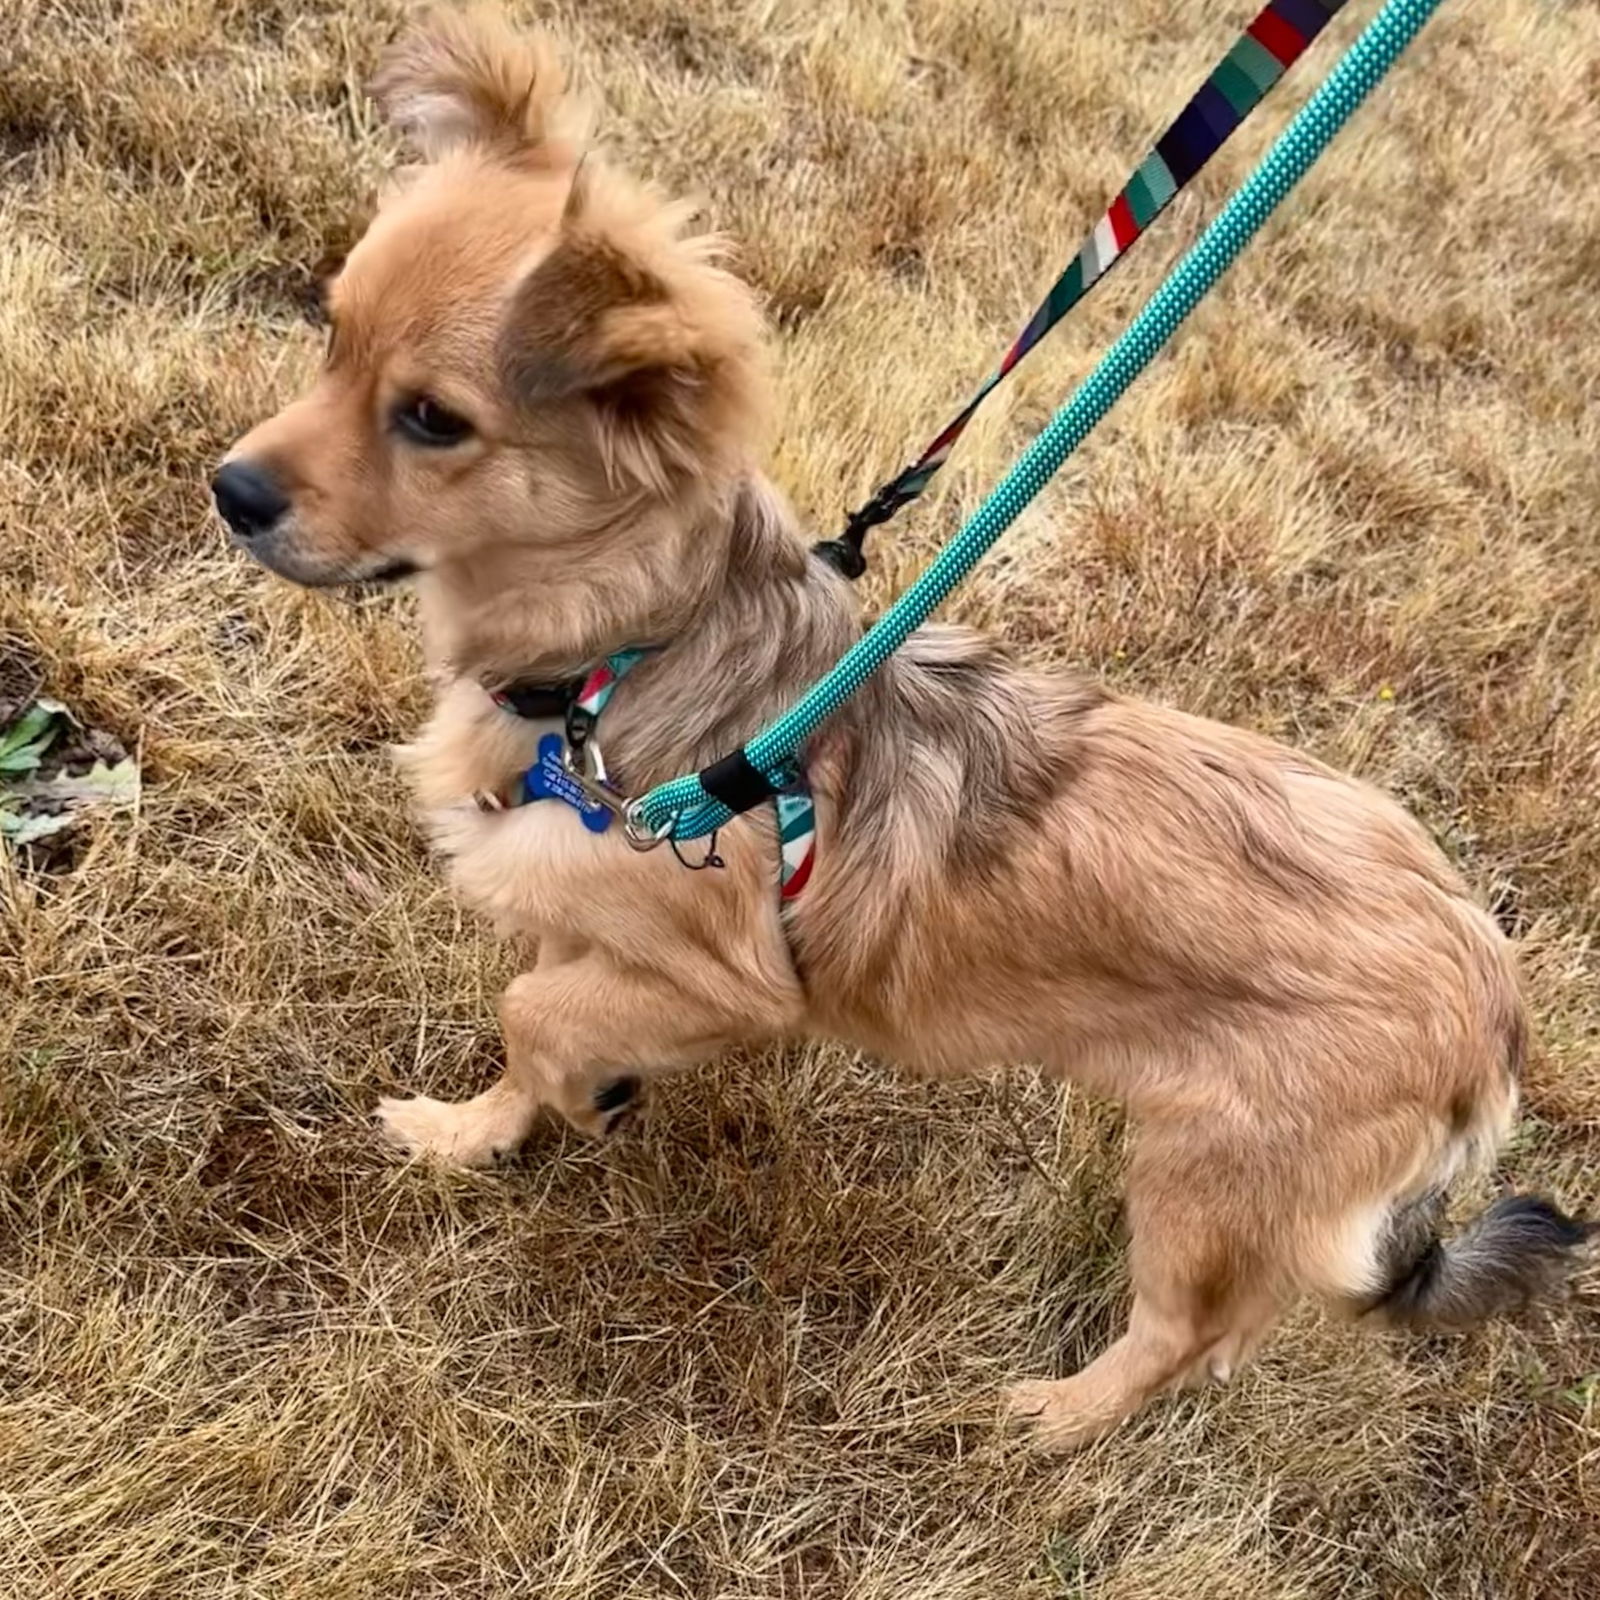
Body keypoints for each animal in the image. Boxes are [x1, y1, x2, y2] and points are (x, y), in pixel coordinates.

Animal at [212, 3, 1587, 1452]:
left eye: (433, 419)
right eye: (330, 335)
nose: (228, 491)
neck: (619, 662)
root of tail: (1491, 998)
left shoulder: (735, 983)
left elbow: (532, 1010)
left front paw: (575, 1095)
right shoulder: (576, 907)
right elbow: (531, 1023)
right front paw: (473, 1134)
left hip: (1209, 1174)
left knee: (1180, 1339)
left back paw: (1052, 1419)